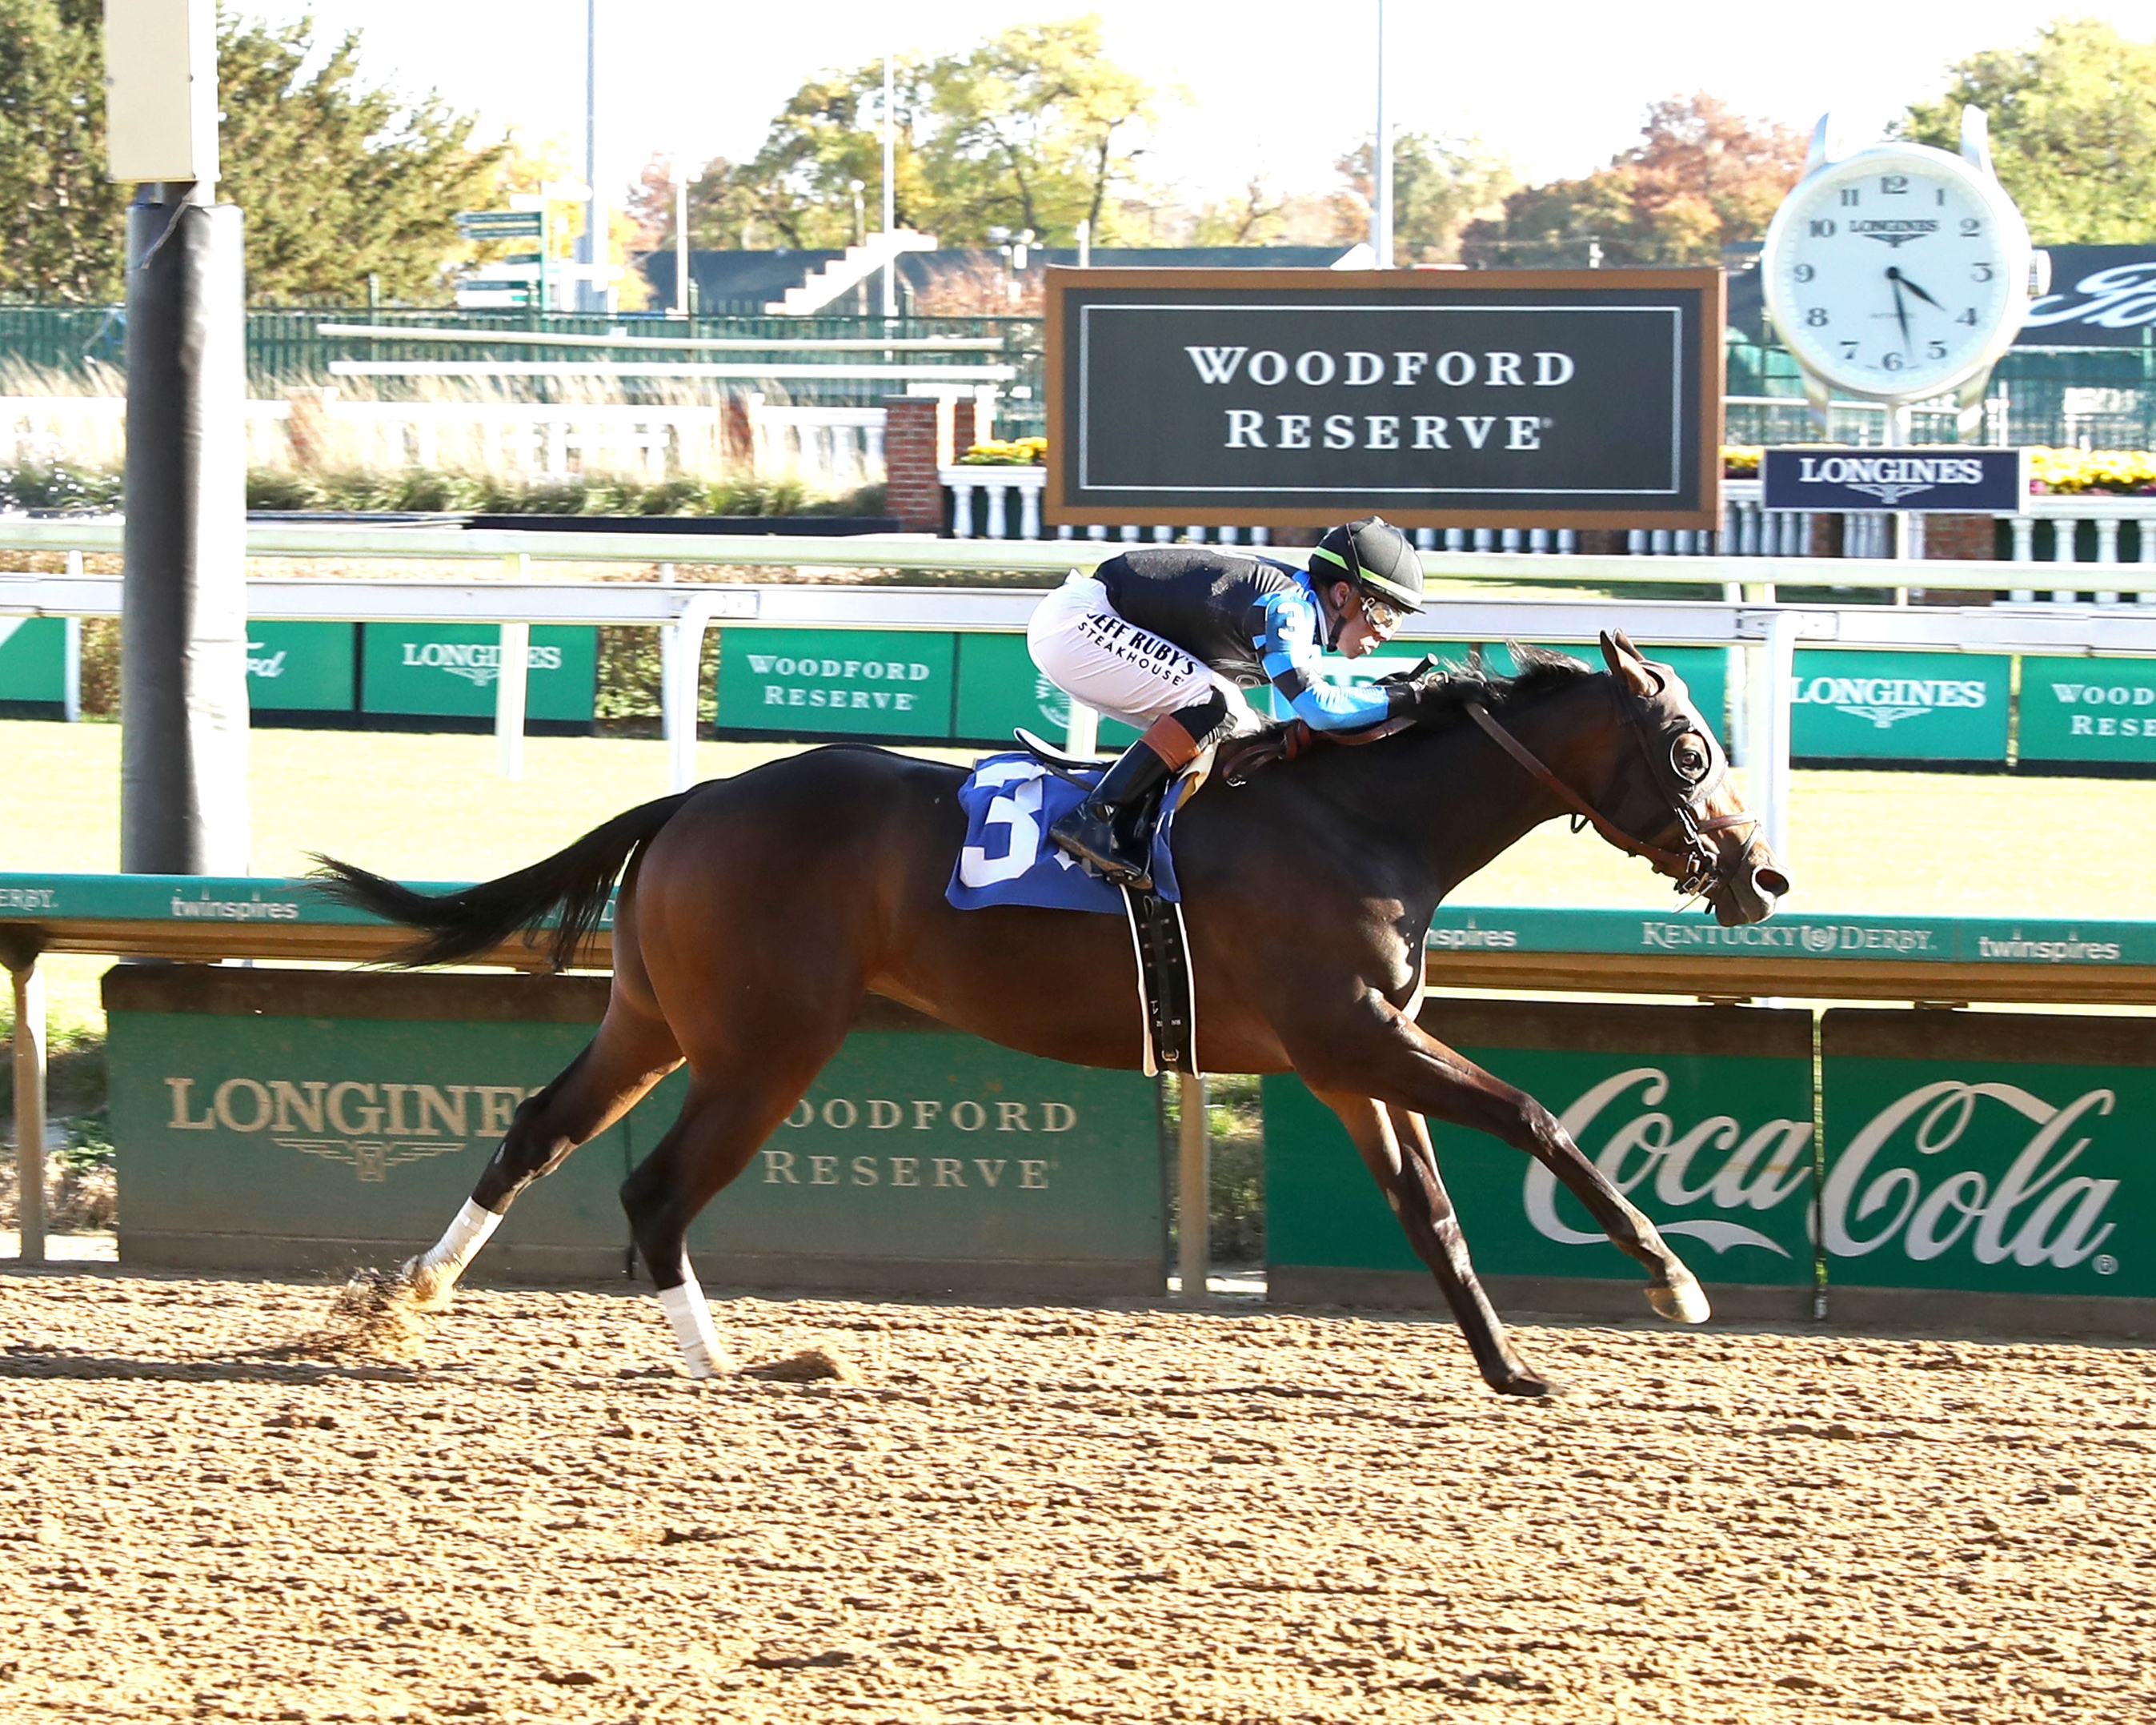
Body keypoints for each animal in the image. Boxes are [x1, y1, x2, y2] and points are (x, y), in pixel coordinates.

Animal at [315, 631, 1788, 1397]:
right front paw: (1671, 1280)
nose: (1762, 875)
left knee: (537, 1130)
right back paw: (723, 1356)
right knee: (656, 1188)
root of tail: (696, 797)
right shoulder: (1355, 1036)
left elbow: (1430, 1215)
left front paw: (1507, 1369)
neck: (1359, 819)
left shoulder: (1347, 1061)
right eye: (1687, 748)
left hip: (656, 1018)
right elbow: (1538, 1115)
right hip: (765, 1045)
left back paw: (399, 1305)